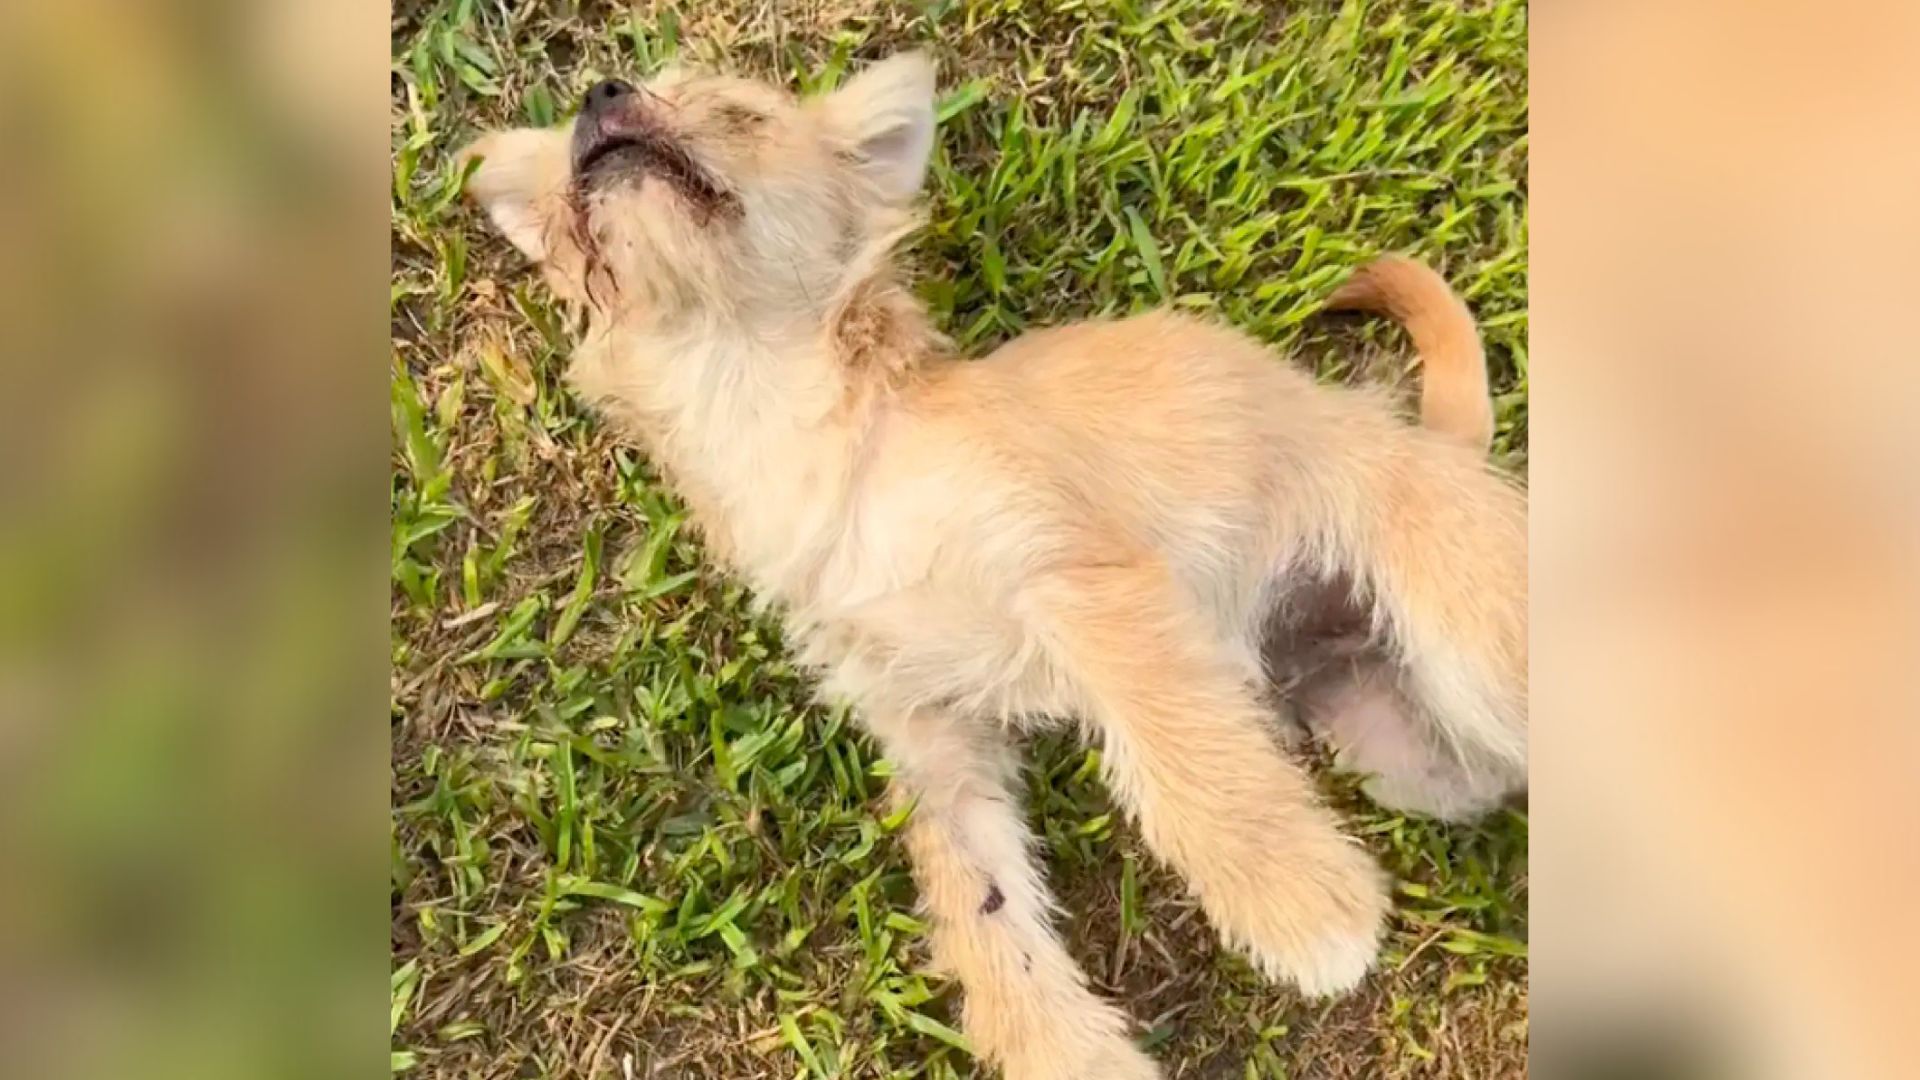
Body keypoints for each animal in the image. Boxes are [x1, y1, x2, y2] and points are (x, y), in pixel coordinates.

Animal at [456, 50, 1520, 1076]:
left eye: (738, 115)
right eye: (566, 191)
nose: (599, 96)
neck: (774, 412)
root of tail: (1435, 445)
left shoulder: (1081, 583)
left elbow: (1188, 757)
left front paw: (1295, 900)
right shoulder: (930, 735)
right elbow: (984, 906)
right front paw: (1063, 1048)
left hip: (1471, 644)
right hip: (1409, 747)